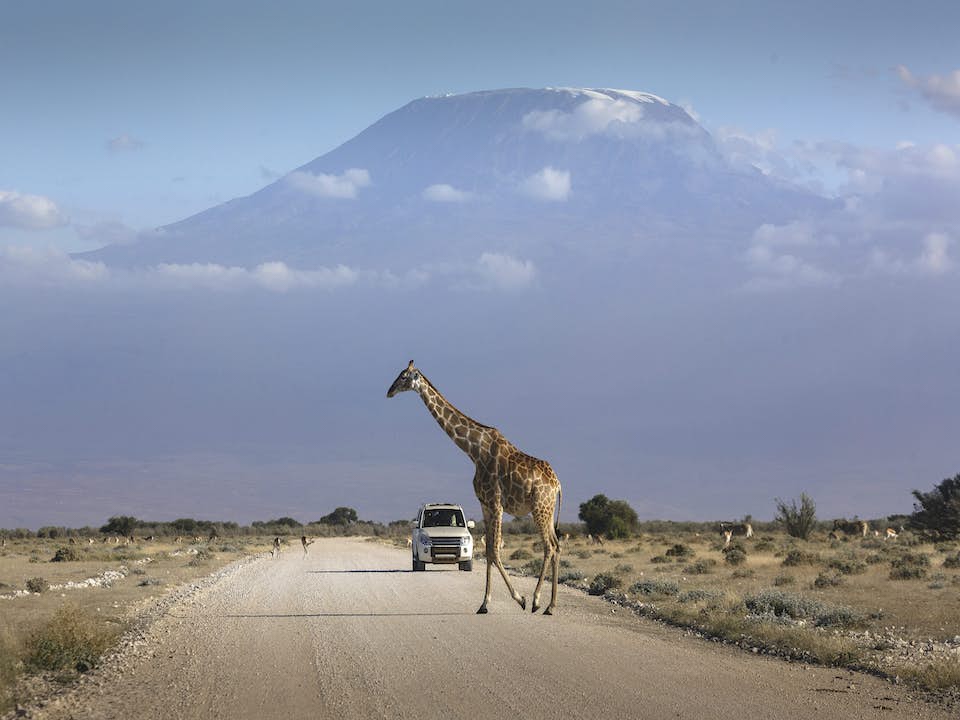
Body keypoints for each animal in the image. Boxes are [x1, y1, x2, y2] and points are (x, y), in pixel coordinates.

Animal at [384, 360, 564, 612]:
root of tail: (557, 484)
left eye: (403, 376)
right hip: (545, 511)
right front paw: (484, 604)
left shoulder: (496, 503)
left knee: (549, 547)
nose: (388, 392)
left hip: (540, 508)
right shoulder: (485, 504)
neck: (474, 451)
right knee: (556, 546)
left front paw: (520, 598)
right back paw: (551, 605)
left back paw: (538, 601)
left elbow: (495, 551)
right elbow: (488, 551)